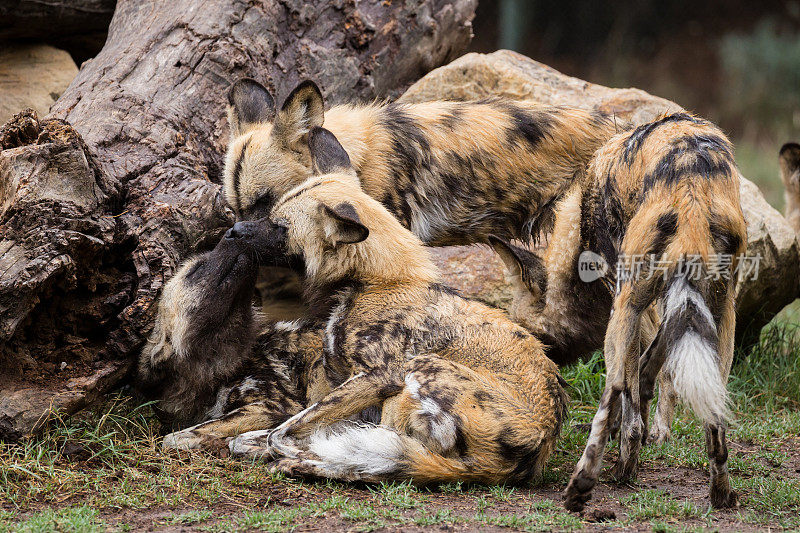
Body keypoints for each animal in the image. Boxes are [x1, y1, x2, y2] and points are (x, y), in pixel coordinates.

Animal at [144, 127, 568, 484]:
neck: (377, 282)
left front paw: (281, 445)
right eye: (270, 214)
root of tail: (536, 447)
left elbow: (284, 430)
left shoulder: (375, 377)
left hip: (418, 370)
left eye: (280, 227)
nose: (233, 231)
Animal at [490, 112, 748, 508]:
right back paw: (721, 493)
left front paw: (626, 448)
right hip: (721, 316)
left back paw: (590, 482)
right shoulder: (663, 311)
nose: (546, 368)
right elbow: (650, 373)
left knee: (614, 392)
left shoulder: (624, 303)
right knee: (715, 418)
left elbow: (629, 400)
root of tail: (692, 190)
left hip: (625, 311)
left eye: (535, 338)